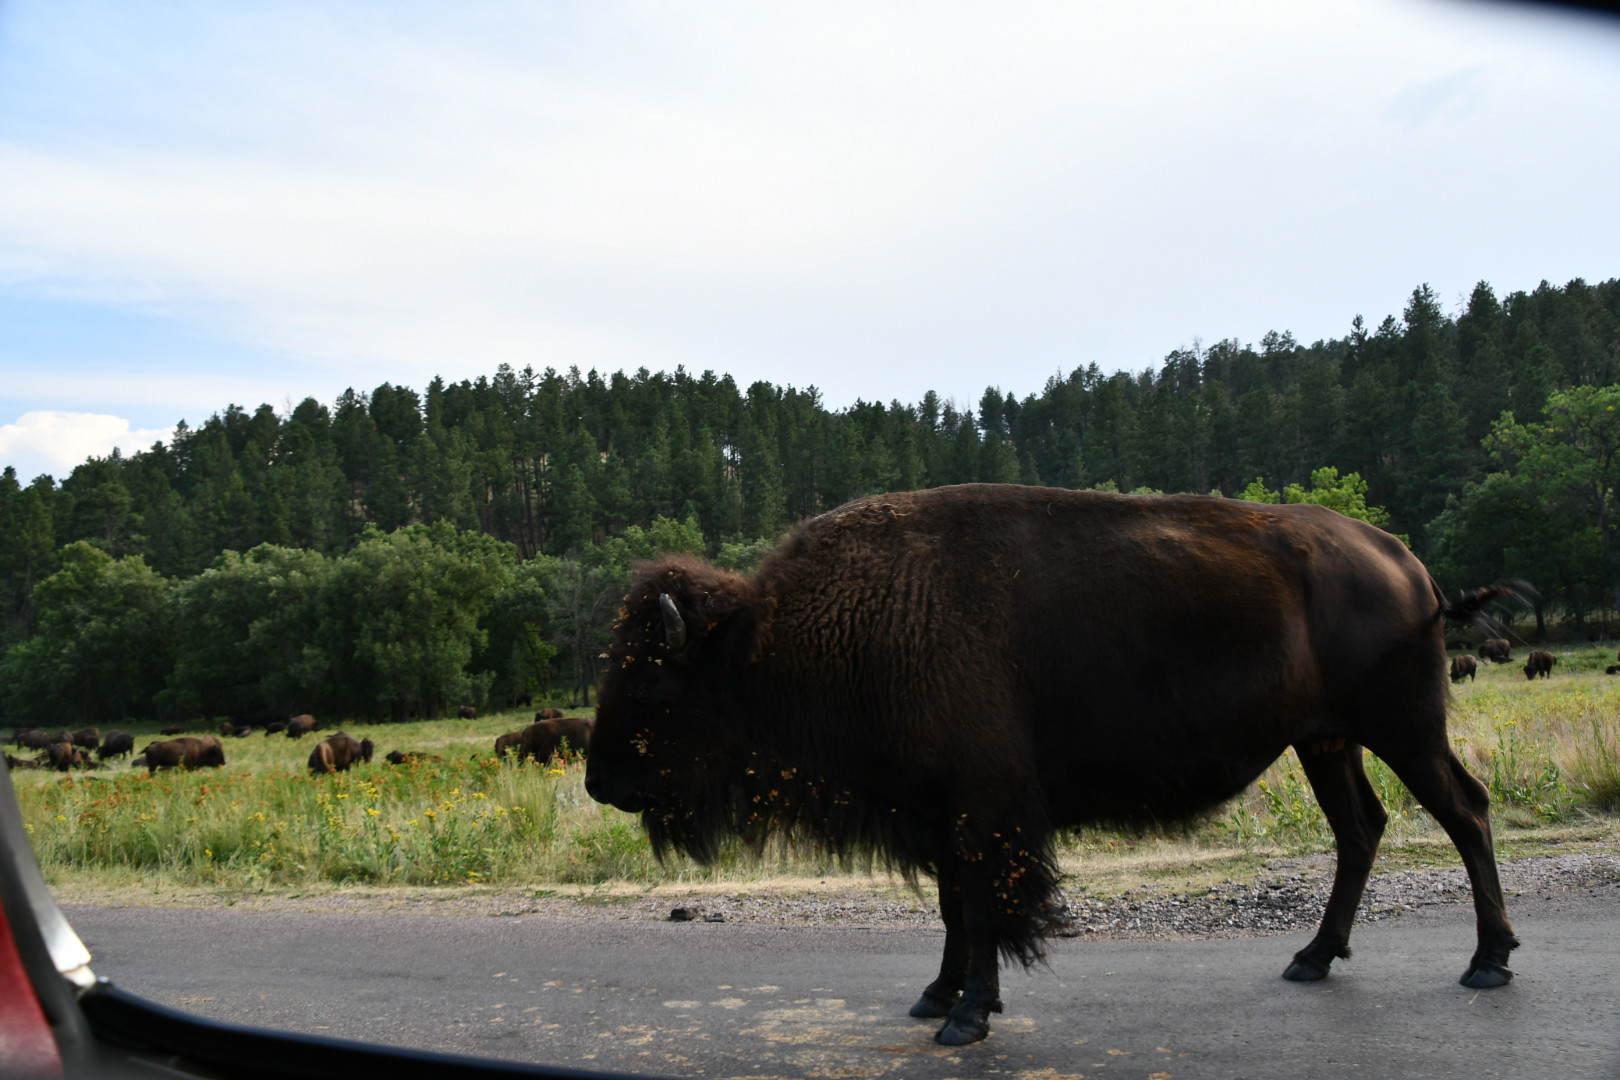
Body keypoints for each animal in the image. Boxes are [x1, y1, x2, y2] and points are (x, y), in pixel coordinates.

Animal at [584, 485, 1524, 1046]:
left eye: (651, 677)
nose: (598, 781)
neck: (780, 640)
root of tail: (1406, 561)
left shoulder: (982, 809)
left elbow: (985, 906)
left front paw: (966, 1016)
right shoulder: (938, 812)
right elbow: (954, 911)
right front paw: (940, 996)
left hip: (1404, 730)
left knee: (1465, 811)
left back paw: (1488, 961)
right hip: (1326, 742)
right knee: (1361, 829)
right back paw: (1314, 957)